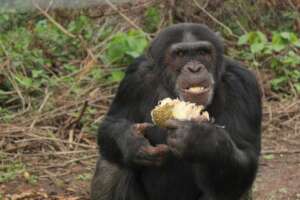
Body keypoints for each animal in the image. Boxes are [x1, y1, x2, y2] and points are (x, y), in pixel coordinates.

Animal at [90, 23, 262, 200]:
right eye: (180, 54)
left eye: (202, 52)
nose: (194, 68)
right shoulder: (134, 78)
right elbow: (111, 122)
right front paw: (132, 141)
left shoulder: (242, 84)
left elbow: (246, 155)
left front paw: (200, 139)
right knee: (111, 163)